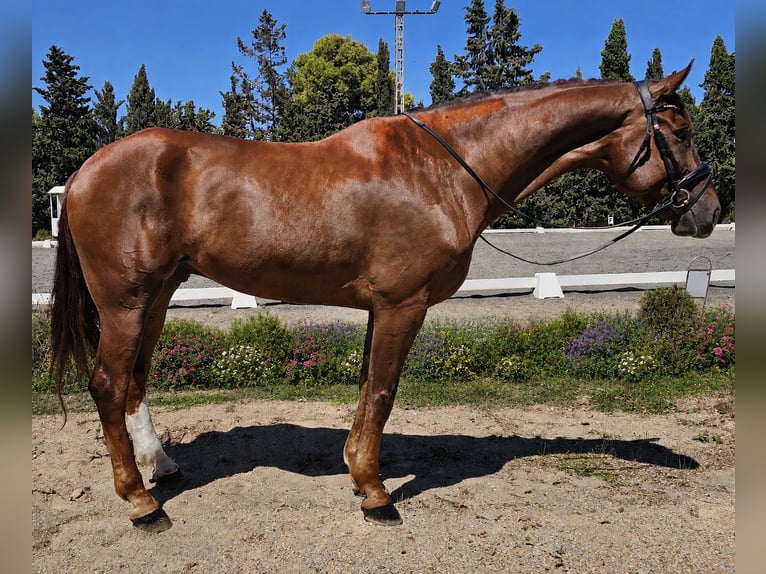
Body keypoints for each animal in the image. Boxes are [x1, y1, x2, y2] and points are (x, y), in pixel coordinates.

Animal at [50, 62, 719, 532]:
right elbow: (382, 392)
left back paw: (160, 468)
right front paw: (376, 495)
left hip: (157, 296)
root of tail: (84, 172)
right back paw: (141, 502)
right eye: (680, 131)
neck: (443, 169)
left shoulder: (381, 308)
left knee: (135, 381)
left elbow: (367, 389)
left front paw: (356, 472)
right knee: (108, 384)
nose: (708, 212)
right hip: (126, 303)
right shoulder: (403, 304)